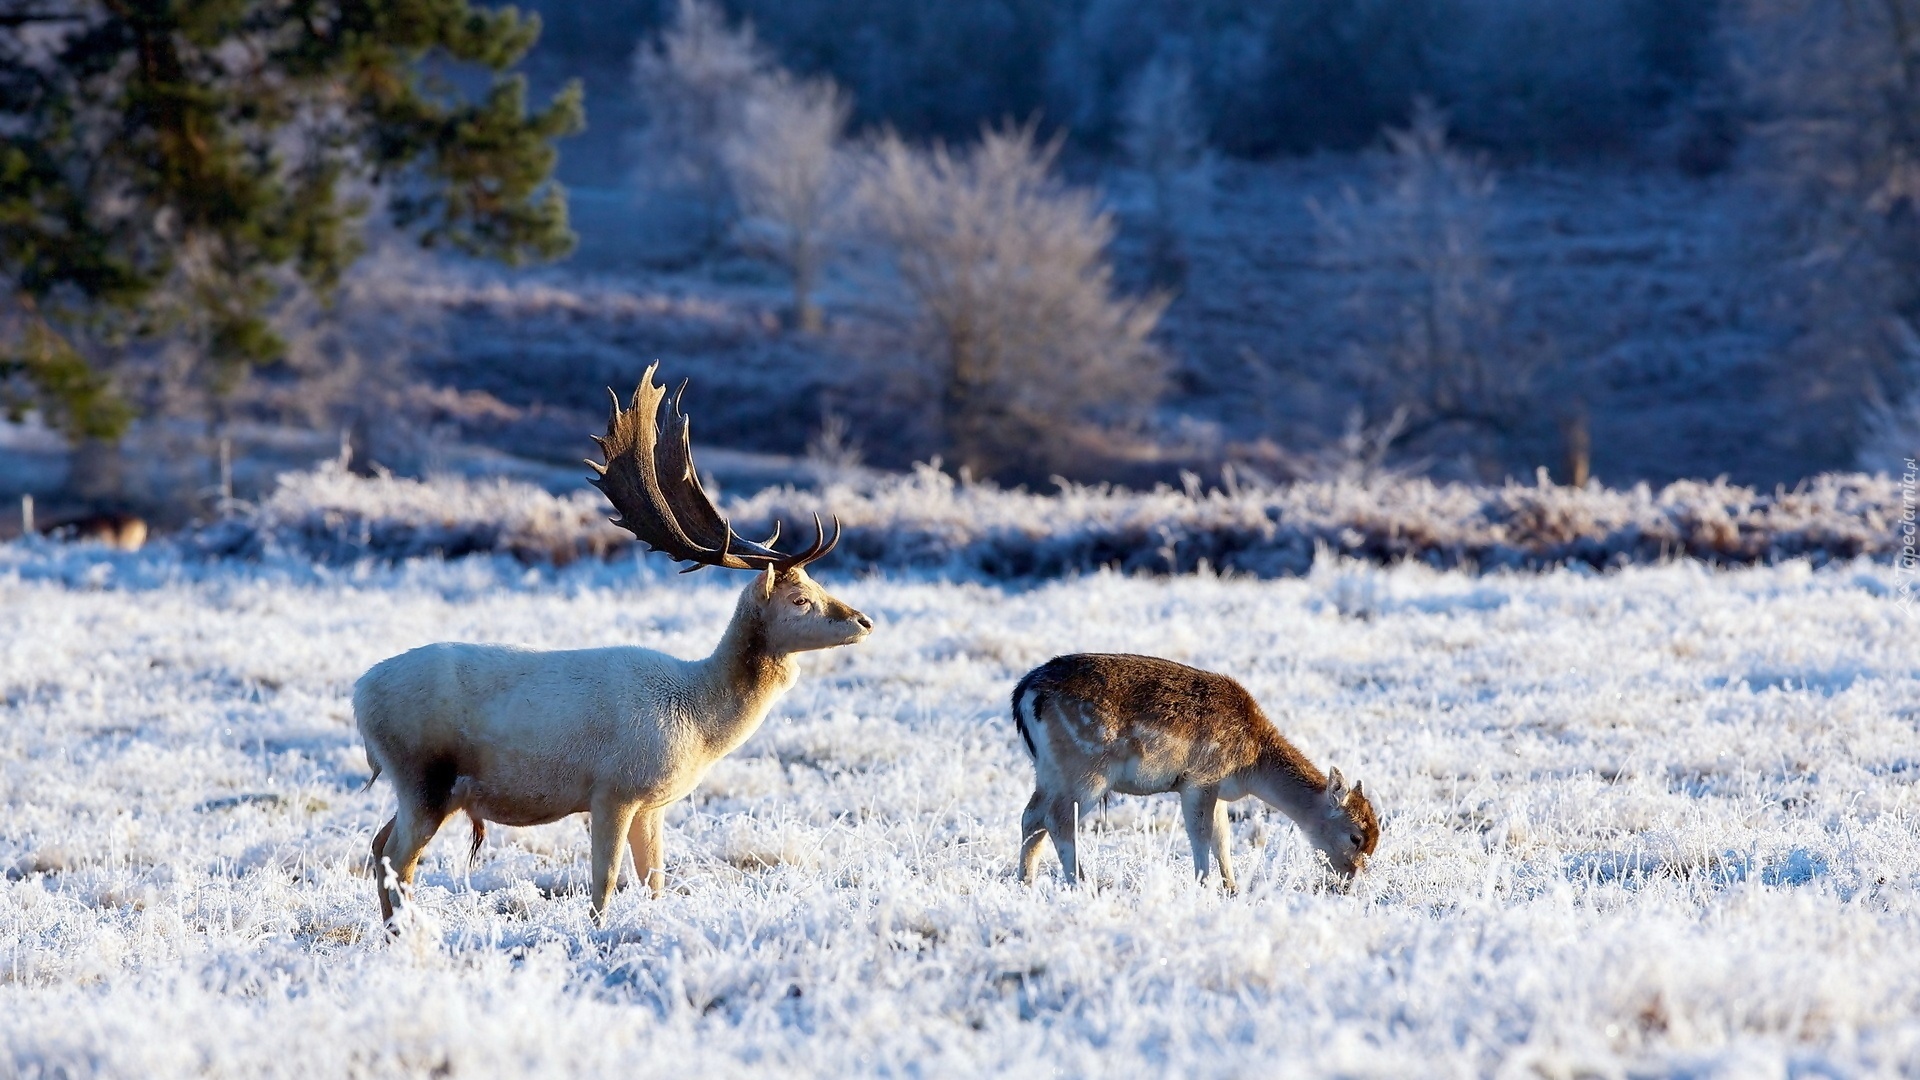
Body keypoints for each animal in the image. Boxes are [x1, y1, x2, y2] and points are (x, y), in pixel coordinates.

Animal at [1006, 653, 1382, 887]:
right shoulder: (1200, 778)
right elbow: (1201, 833)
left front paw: (1232, 887)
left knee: (1031, 816)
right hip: (1086, 771)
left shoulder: (1216, 789)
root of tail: (1023, 693)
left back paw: (1025, 882)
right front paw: (1205, 884)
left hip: (1048, 771)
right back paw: (1082, 883)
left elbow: (1222, 837)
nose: (1352, 878)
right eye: (1356, 836)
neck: (1250, 766)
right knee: (1058, 819)